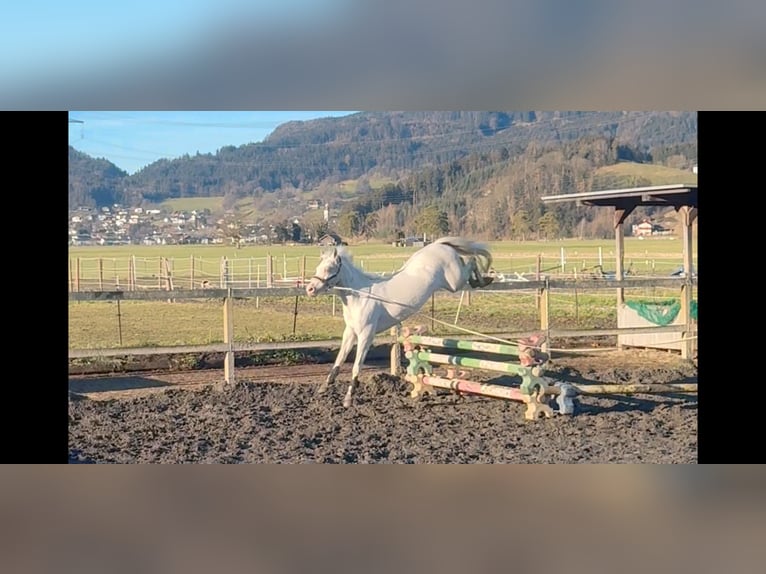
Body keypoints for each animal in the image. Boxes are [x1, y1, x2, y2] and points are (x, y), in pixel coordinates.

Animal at [304, 238, 496, 410]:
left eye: (329, 269)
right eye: (317, 268)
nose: (310, 289)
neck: (360, 296)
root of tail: (438, 244)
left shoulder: (366, 335)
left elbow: (356, 366)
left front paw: (348, 399)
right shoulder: (350, 332)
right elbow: (339, 360)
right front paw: (324, 387)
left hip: (454, 282)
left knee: (471, 261)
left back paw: (483, 280)